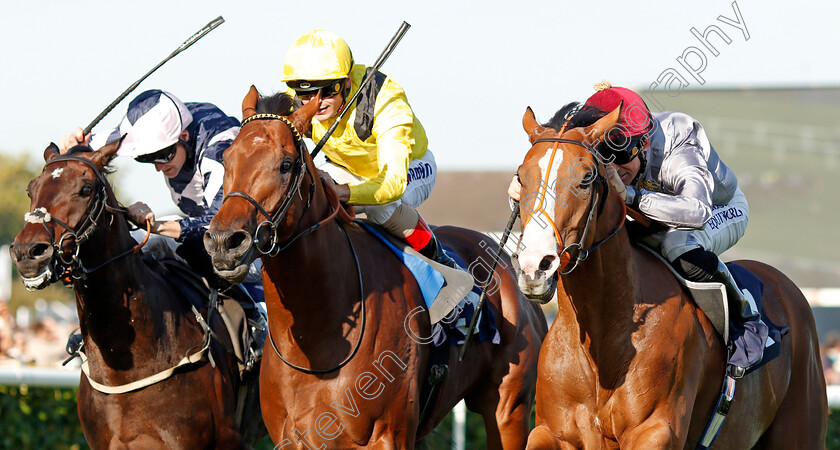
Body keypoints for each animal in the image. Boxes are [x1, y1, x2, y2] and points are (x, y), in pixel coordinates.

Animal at [201, 86, 548, 448]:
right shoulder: (292, 437)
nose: (224, 241)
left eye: (286, 164)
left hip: (508, 408)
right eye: (226, 159)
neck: (318, 340)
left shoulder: (387, 433)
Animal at [512, 103, 828, 448]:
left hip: (800, 427)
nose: (535, 266)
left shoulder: (655, 430)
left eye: (586, 178)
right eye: (520, 177)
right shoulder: (551, 431)